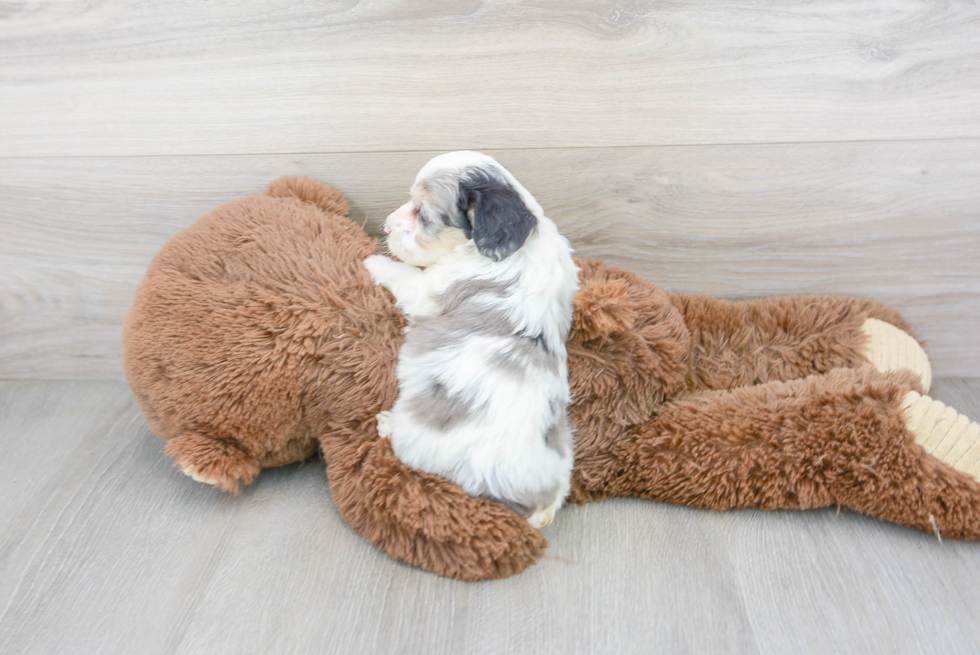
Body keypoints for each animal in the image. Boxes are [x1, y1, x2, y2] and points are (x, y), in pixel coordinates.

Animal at [368, 151, 580, 532]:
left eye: (423, 213)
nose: (387, 228)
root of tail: (539, 499)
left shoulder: (427, 289)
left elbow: (404, 274)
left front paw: (372, 260)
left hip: (420, 442)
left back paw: (387, 424)